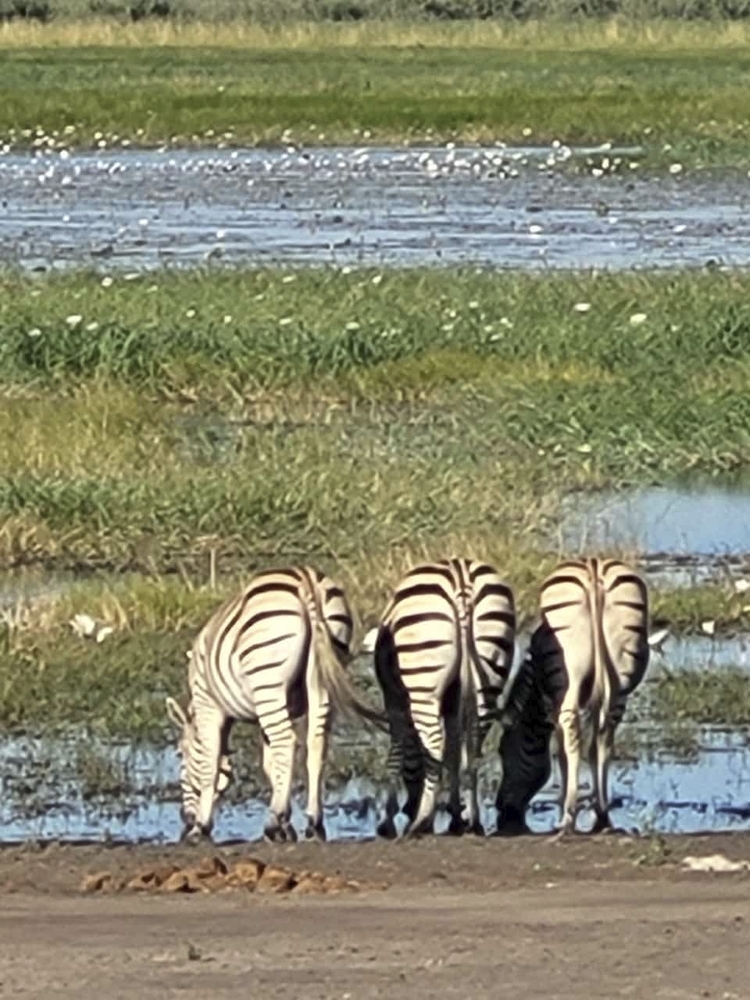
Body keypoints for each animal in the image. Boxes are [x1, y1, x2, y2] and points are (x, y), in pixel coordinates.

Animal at [167, 568, 384, 840]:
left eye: (180, 755)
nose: (184, 818)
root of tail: (306, 580)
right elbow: (271, 765)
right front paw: (286, 820)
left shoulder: (209, 705)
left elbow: (210, 762)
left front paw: (202, 826)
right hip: (320, 677)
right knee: (316, 743)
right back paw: (314, 821)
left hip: (267, 680)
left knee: (287, 741)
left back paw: (274, 823)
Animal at [374, 560, 516, 840]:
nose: (408, 808)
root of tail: (461, 579)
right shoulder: (452, 700)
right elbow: (453, 749)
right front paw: (456, 815)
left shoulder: (394, 698)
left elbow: (398, 747)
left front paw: (388, 820)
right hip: (490, 669)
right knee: (474, 743)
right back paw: (474, 820)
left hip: (423, 681)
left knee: (434, 742)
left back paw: (419, 822)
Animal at [496, 556, 648, 836]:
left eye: (503, 751)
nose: (502, 808)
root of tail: (594, 572)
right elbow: (592, 750)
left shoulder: (551, 702)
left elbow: (563, 754)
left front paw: (564, 806)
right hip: (621, 674)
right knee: (605, 738)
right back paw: (602, 817)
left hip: (569, 674)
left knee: (573, 731)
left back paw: (567, 818)